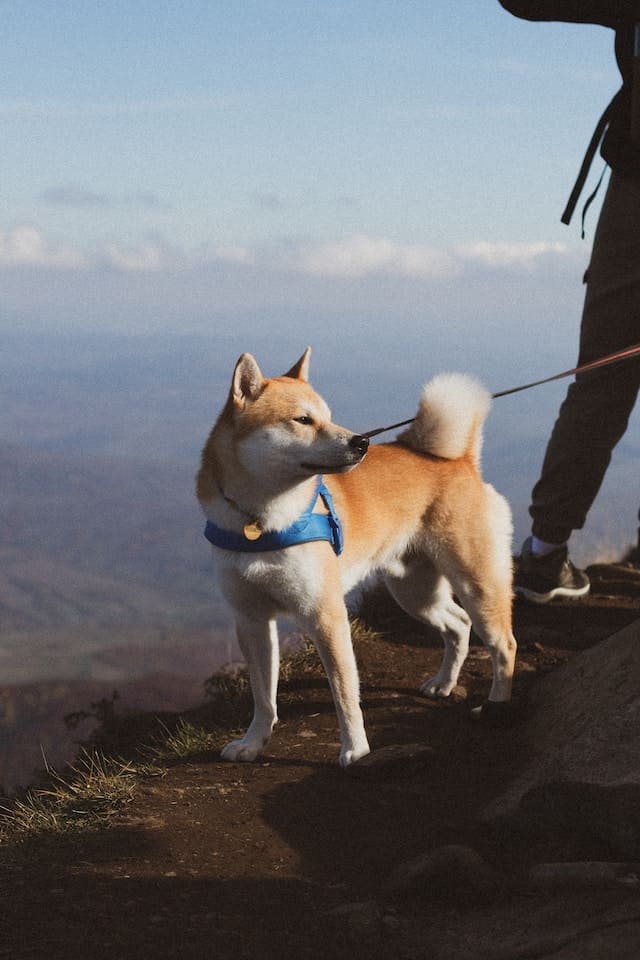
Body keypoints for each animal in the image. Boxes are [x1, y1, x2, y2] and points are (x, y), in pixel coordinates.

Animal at [198, 348, 516, 768]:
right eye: (303, 419)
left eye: (328, 414)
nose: (361, 442)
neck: (262, 520)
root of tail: (459, 461)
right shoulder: (252, 620)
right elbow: (263, 697)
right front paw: (253, 743)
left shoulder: (325, 615)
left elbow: (345, 694)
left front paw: (355, 749)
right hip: (415, 594)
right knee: (458, 625)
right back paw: (443, 684)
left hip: (477, 586)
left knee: (504, 644)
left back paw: (496, 706)